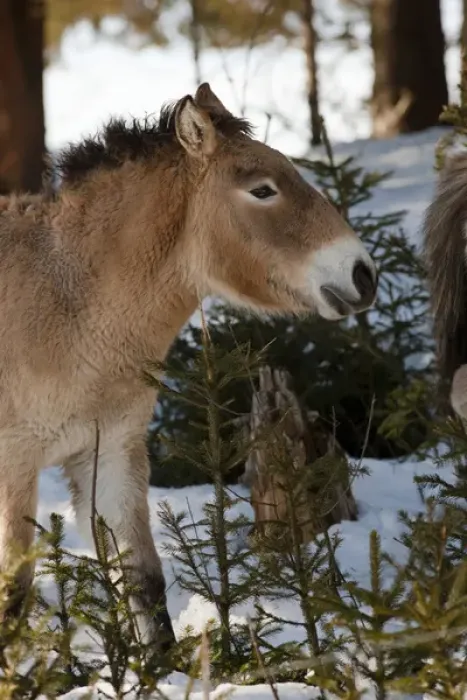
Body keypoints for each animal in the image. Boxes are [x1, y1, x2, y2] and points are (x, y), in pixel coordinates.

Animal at [0, 83, 377, 650]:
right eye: (262, 190)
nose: (362, 274)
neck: (63, 302)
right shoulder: (14, 469)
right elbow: (13, 601)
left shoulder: (109, 455)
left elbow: (145, 584)